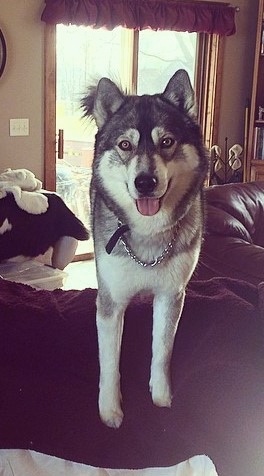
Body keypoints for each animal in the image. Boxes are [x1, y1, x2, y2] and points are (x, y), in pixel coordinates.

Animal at [82, 69, 208, 428]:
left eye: (166, 142)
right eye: (125, 145)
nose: (145, 182)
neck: (147, 234)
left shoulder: (171, 294)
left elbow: (162, 349)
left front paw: (161, 396)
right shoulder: (110, 301)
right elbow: (109, 362)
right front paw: (110, 410)